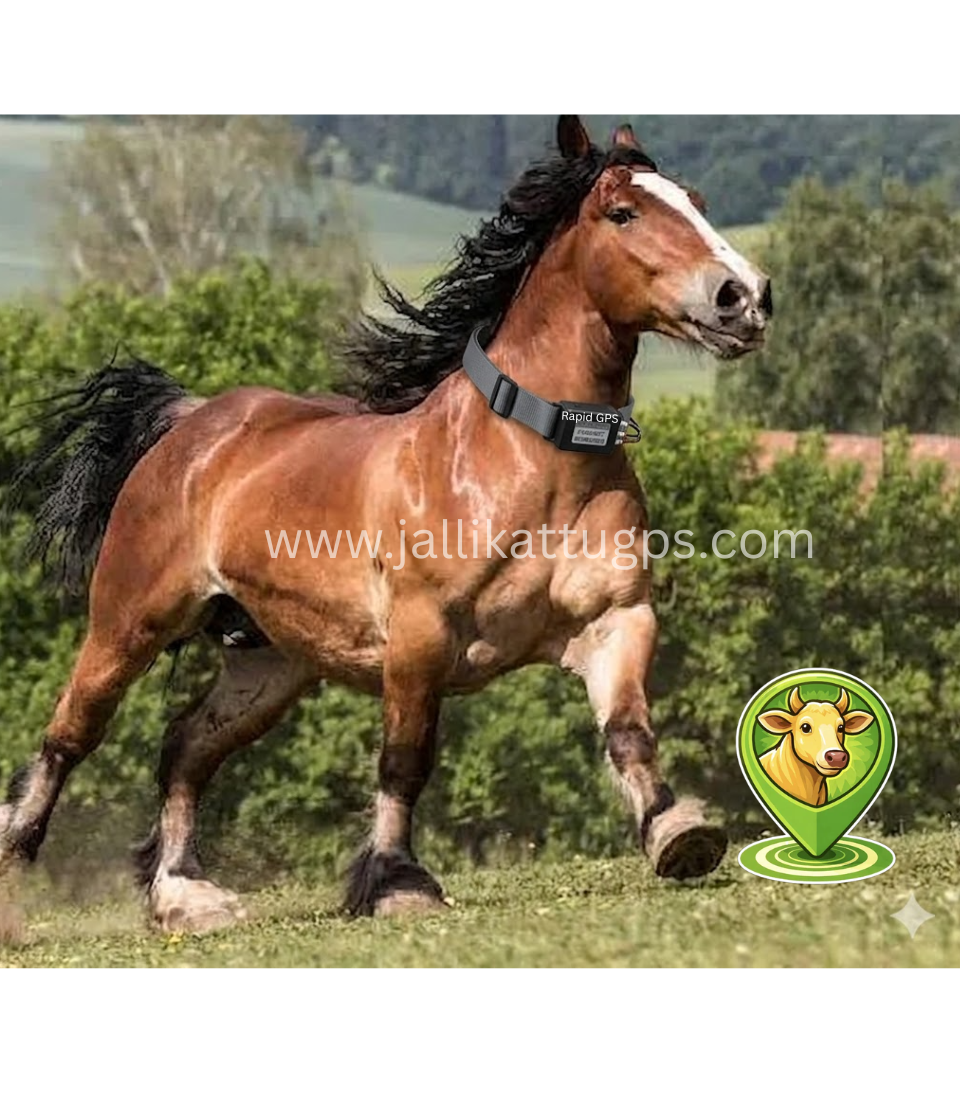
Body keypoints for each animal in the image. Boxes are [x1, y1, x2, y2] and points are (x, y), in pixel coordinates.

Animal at [0, 115, 771, 934]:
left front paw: (678, 832)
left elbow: (627, 728)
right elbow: (405, 758)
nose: (744, 297)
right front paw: (398, 882)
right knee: (67, 738)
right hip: (127, 625)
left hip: (271, 664)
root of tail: (190, 424)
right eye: (623, 213)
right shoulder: (419, 638)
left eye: (696, 202)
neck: (528, 464)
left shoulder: (616, 618)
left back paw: (185, 894)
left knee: (184, 747)